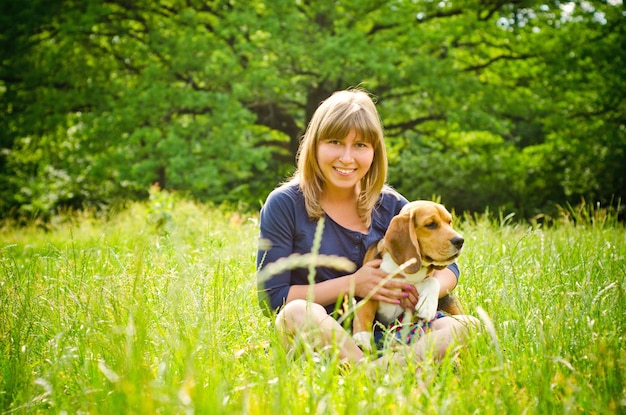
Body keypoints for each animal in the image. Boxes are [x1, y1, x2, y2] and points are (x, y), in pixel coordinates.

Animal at [352, 202, 464, 352]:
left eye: (449, 222)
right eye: (431, 224)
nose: (460, 241)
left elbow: (431, 280)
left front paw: (427, 304)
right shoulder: (371, 289)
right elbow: (364, 310)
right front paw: (361, 337)